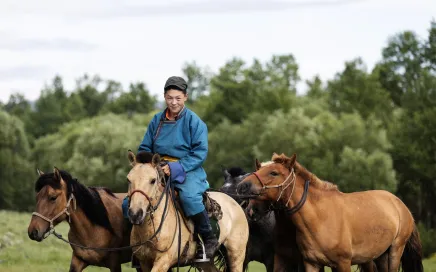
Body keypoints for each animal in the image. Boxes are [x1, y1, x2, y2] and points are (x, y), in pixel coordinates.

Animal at [237, 153, 424, 272]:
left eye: (274, 172)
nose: (242, 186)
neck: (320, 218)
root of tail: (400, 205)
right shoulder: (311, 264)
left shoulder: (343, 263)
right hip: (379, 256)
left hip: (395, 251)